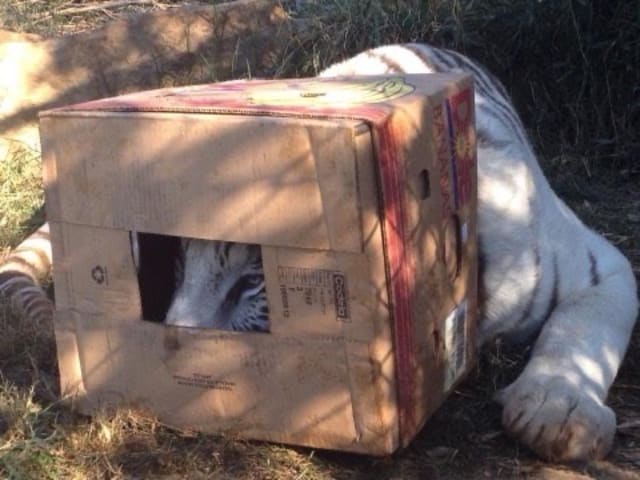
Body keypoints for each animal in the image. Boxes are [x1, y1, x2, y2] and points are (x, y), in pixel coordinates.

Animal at [0, 43, 637, 462]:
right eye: (175, 262)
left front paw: (557, 409)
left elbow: (582, 328)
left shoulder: (600, 264)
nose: (173, 350)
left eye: (247, 285)